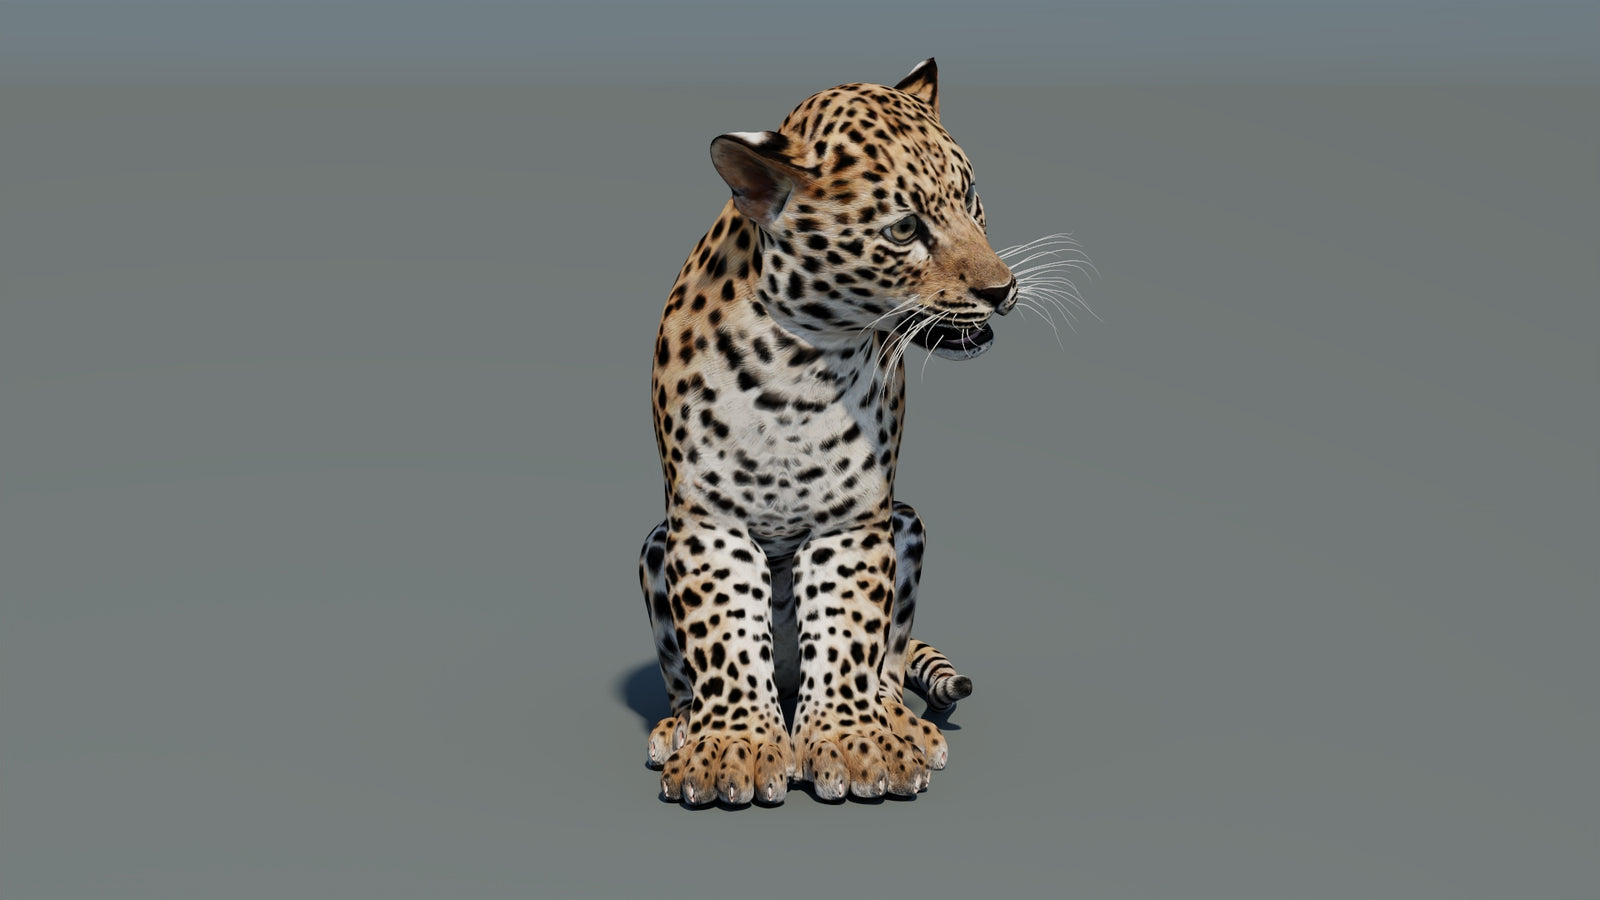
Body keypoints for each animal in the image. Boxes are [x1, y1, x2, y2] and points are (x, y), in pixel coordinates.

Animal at [638, 58, 1074, 806]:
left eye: (970, 199)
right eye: (903, 230)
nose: (1001, 290)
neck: (799, 368)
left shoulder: (852, 520)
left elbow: (848, 630)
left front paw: (855, 743)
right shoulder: (708, 520)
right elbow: (723, 634)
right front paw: (730, 747)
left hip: (908, 525)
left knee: (889, 662)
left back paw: (900, 721)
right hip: (653, 545)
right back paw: (682, 724)